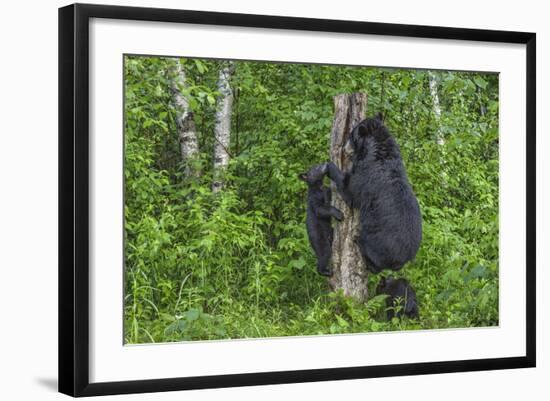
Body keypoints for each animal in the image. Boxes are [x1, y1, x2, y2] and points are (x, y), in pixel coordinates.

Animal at [328, 114, 422, 274]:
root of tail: (403, 260)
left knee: (374, 260)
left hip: (377, 241)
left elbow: (350, 191)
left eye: (351, 136)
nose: (344, 148)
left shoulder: (366, 176)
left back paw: (358, 241)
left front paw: (328, 167)